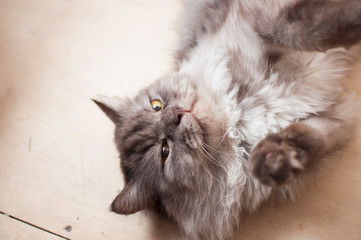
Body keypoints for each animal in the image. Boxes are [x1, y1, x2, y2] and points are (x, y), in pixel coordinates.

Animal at [92, 0, 360, 239]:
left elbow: (298, 28)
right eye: (164, 151)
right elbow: (306, 139)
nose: (177, 115)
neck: (238, 112)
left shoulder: (257, 24)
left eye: (156, 105)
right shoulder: (331, 121)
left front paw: (351, 20)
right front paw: (274, 159)